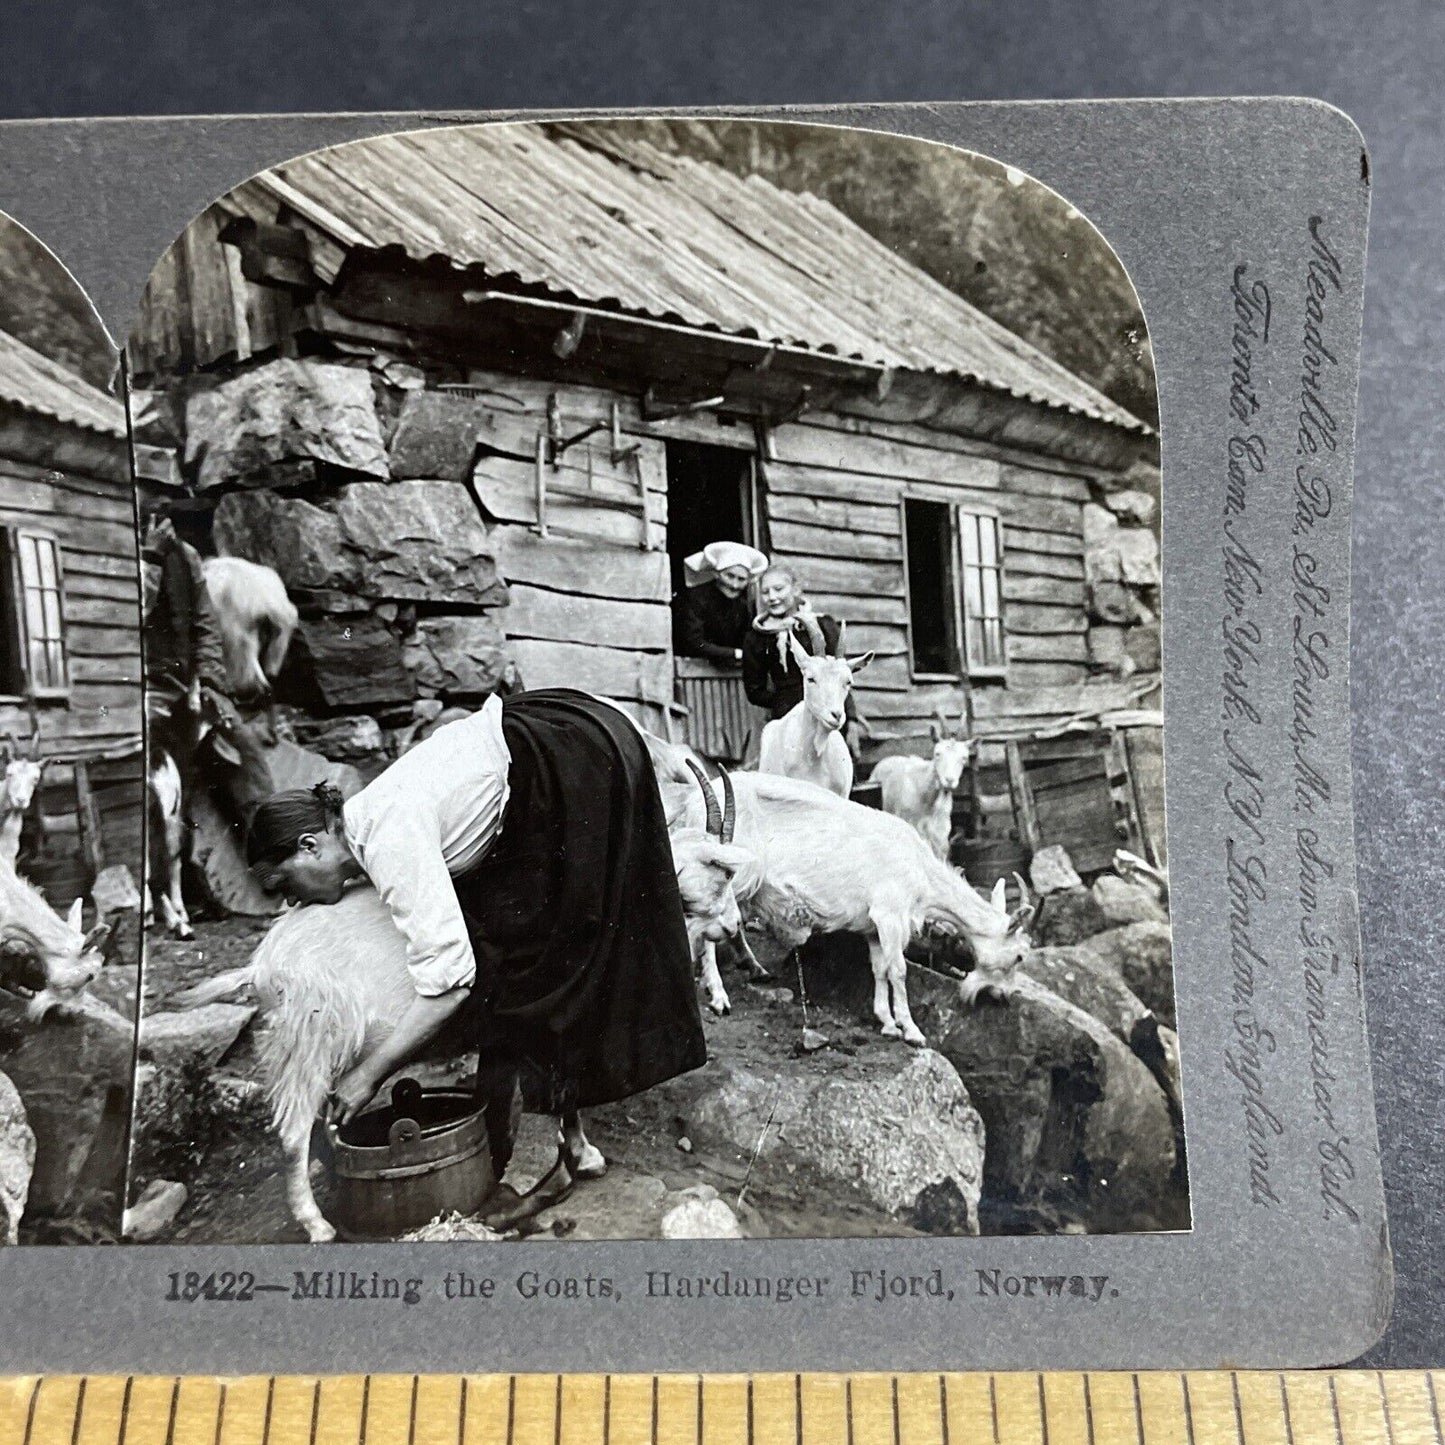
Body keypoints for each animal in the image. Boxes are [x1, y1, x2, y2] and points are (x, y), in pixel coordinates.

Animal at [664, 774, 1028, 1046]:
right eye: (1019, 956)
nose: (1005, 997)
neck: (920, 869)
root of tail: (690, 806)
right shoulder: (891, 915)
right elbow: (898, 971)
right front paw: (911, 1030)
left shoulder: (874, 927)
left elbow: (879, 969)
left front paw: (886, 1022)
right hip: (729, 875)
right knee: (712, 930)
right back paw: (719, 995)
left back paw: (755, 968)